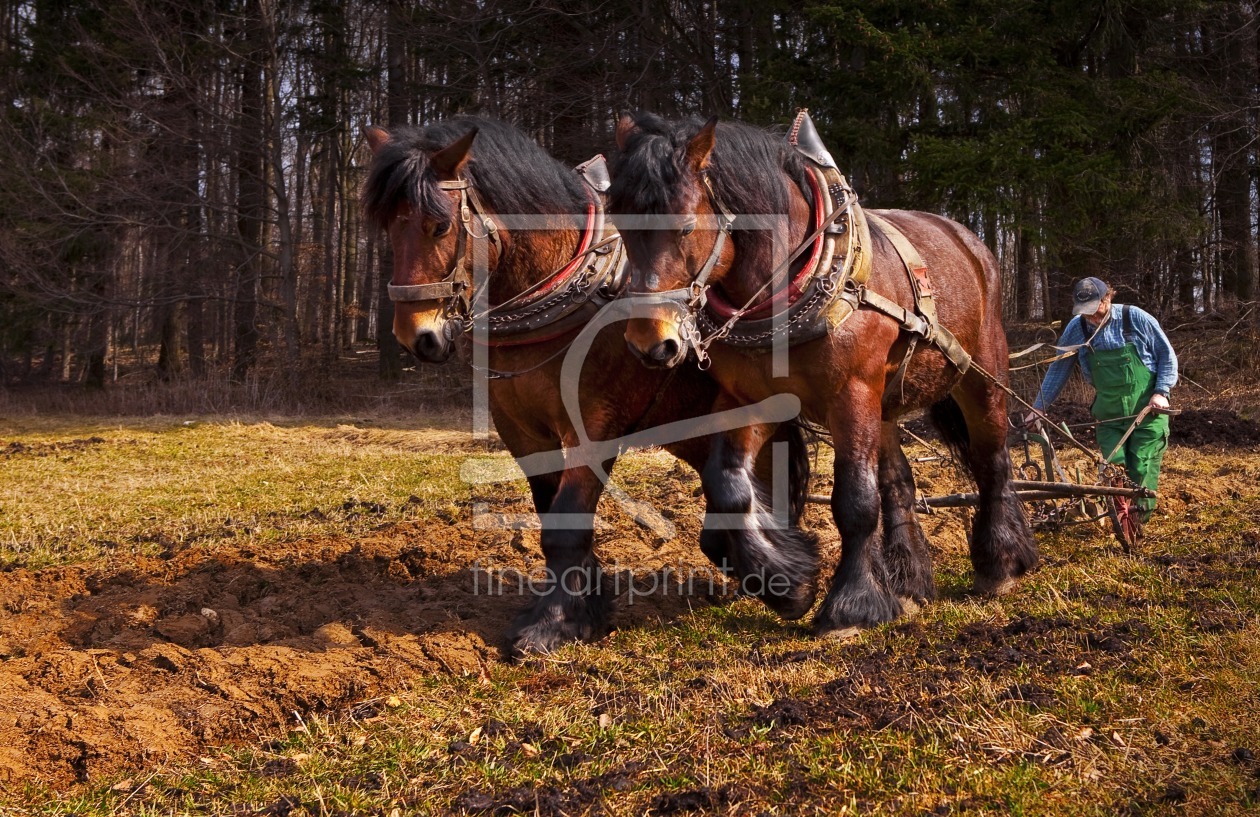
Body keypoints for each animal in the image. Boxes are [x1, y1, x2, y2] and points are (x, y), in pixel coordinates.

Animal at [362, 116, 816, 655]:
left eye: (440, 226)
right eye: (388, 227)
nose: (417, 337)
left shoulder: (594, 425)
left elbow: (567, 519)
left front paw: (554, 624)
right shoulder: (520, 430)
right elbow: (551, 514)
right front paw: (583, 605)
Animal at [607, 113, 1033, 637]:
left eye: (686, 225)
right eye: (620, 221)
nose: (650, 342)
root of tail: (969, 240)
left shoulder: (850, 393)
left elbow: (854, 501)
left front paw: (851, 605)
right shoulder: (752, 398)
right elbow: (726, 485)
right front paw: (785, 582)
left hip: (981, 374)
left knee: (991, 461)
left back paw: (1001, 565)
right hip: (883, 405)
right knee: (898, 482)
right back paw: (908, 584)